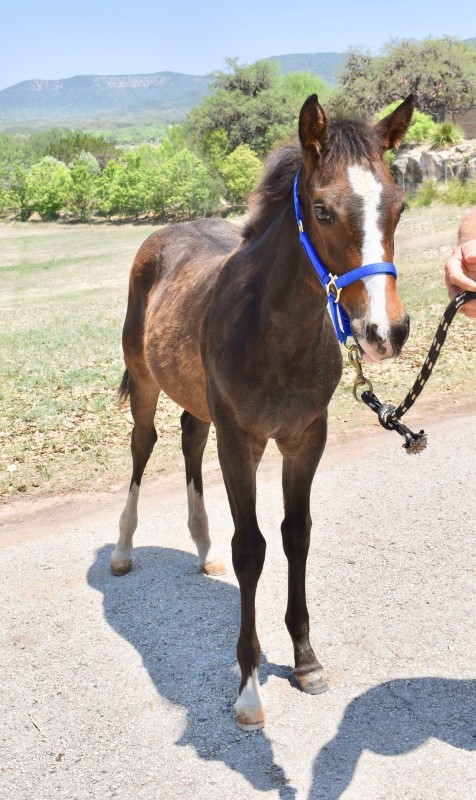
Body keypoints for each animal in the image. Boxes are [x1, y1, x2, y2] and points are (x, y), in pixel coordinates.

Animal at [111, 95, 412, 732]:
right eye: (322, 210)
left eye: (398, 206)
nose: (386, 332)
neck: (277, 333)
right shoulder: (240, 440)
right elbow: (250, 547)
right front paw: (249, 687)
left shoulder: (305, 437)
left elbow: (296, 535)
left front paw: (306, 660)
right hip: (146, 381)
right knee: (144, 444)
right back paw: (123, 551)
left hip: (196, 398)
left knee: (189, 437)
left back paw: (203, 551)